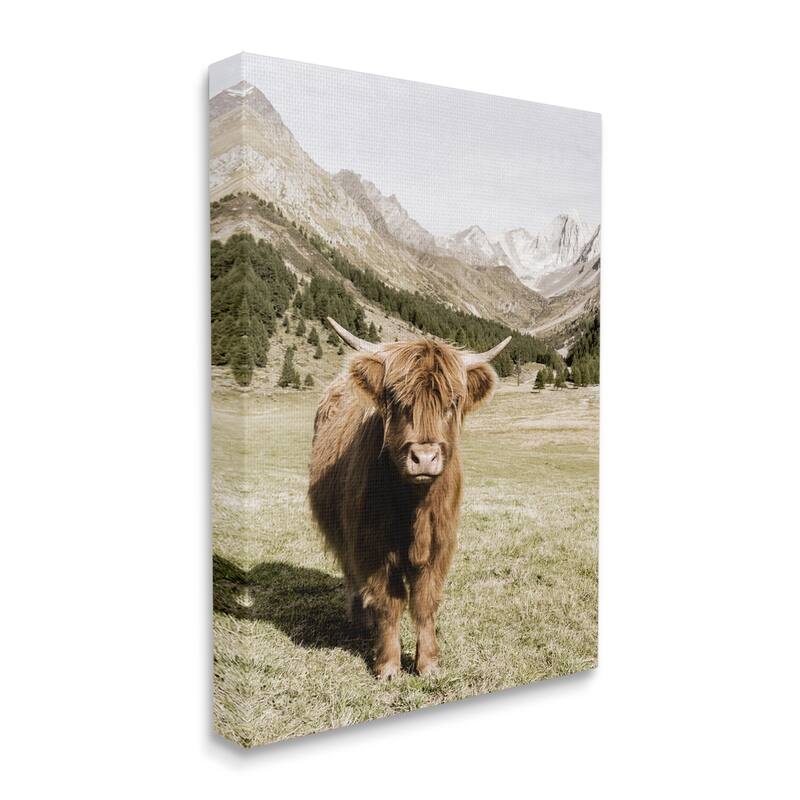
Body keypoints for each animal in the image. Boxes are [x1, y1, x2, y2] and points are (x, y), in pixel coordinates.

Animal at [308, 317, 510, 679]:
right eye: (396, 400)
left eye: (452, 402)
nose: (424, 457)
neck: (415, 507)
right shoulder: (371, 545)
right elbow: (390, 602)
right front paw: (388, 665)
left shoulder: (440, 544)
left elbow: (425, 601)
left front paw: (428, 663)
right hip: (343, 535)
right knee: (352, 575)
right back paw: (361, 620)